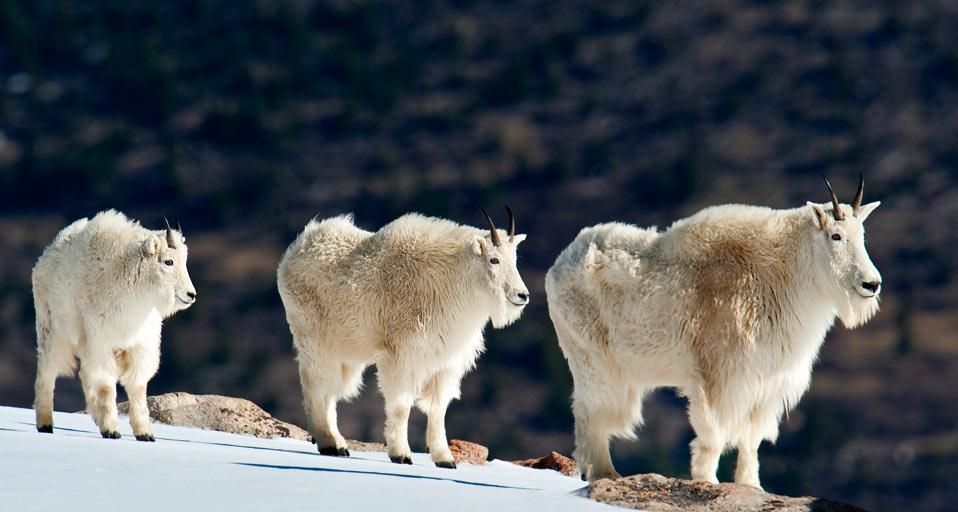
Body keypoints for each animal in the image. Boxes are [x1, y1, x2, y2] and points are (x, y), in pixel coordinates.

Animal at [32, 210, 196, 442]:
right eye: (168, 261)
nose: (191, 295)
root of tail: (45, 257)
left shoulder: (140, 344)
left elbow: (137, 387)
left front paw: (145, 433)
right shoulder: (101, 341)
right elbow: (106, 385)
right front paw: (111, 430)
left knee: (84, 374)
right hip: (52, 330)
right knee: (47, 372)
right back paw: (45, 423)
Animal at [278, 208, 532, 468]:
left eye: (515, 259)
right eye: (494, 260)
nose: (522, 295)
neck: (451, 283)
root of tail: (296, 248)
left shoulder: (446, 361)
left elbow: (438, 409)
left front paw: (444, 459)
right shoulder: (402, 355)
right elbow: (401, 405)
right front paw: (401, 454)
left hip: (344, 349)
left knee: (330, 390)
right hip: (313, 339)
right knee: (315, 385)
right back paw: (330, 443)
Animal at [548, 177, 884, 488]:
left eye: (862, 235)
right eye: (836, 235)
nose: (872, 284)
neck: (784, 272)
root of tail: (559, 265)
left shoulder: (768, 379)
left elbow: (751, 438)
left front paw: (751, 485)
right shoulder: (719, 373)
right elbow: (713, 431)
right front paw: (707, 480)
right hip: (591, 356)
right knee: (590, 410)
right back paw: (604, 472)